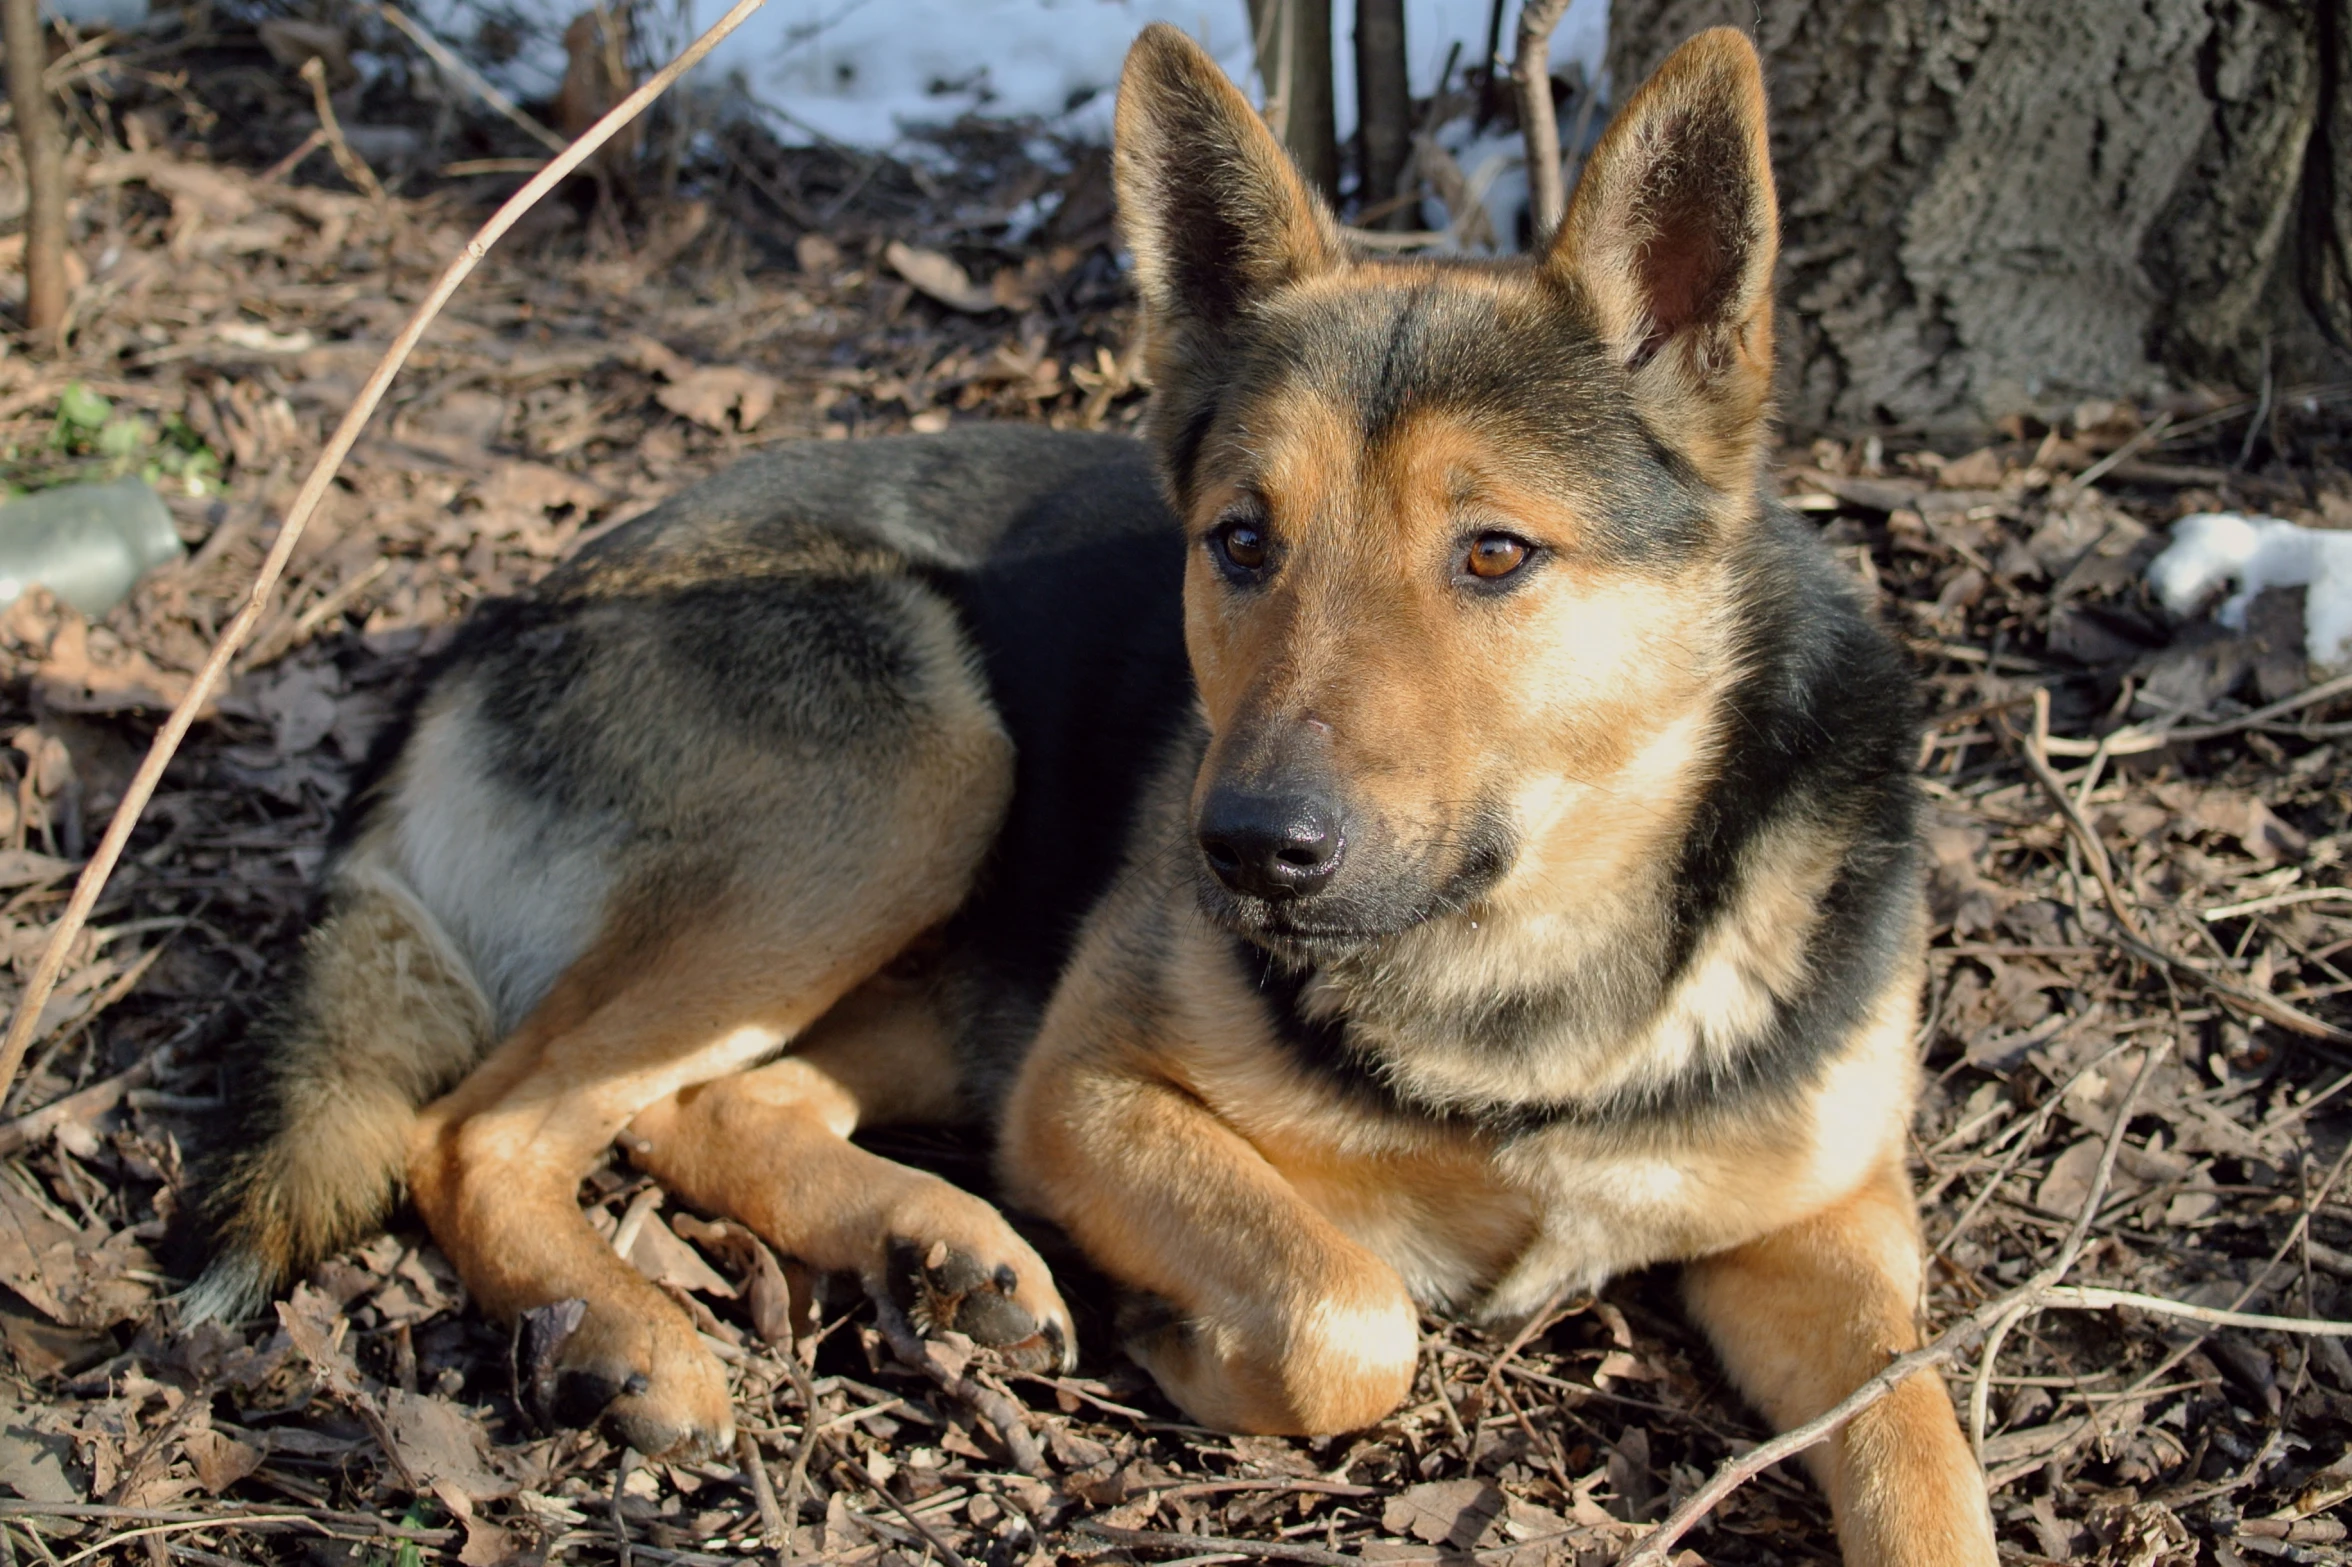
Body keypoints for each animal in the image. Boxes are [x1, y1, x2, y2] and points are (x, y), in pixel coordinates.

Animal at [192, 27, 2003, 1562]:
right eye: (1241, 541)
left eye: (1495, 554)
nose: (1246, 850)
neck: (1530, 962)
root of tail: (486, 627)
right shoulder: (1090, 1091)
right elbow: (1351, 1313)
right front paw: (1194, 1345)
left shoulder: (1834, 1227)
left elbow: (1925, 1451)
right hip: (924, 763)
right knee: (482, 1126)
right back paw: (636, 1335)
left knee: (707, 1101)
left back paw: (942, 1249)